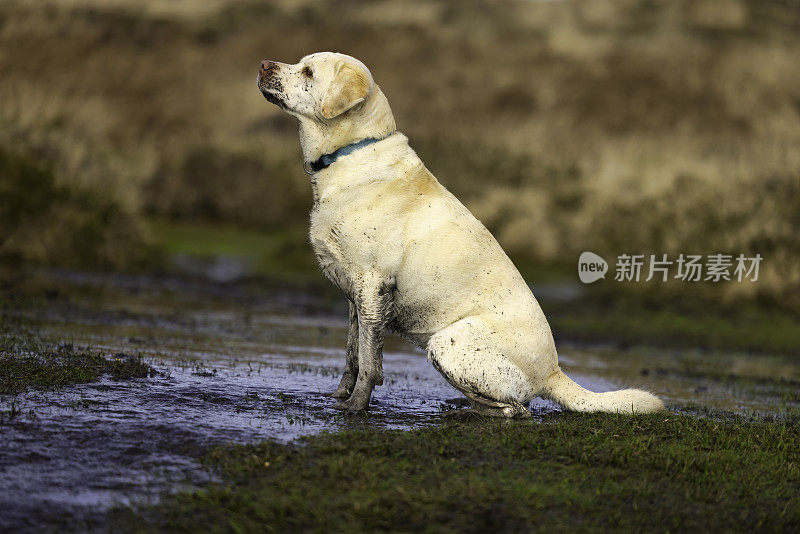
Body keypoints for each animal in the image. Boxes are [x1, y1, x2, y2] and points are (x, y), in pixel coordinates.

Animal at [258, 51, 664, 418]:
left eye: (308, 72)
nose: (263, 64)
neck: (351, 153)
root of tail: (553, 372)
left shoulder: (373, 287)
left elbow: (370, 364)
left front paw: (355, 408)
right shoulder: (354, 298)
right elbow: (352, 356)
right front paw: (340, 396)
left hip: (446, 342)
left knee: (516, 409)